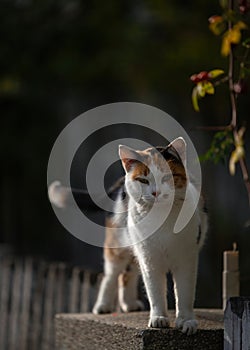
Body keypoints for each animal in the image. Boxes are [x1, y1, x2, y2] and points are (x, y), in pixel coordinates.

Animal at [48, 135, 207, 334]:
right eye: (143, 180)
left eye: (166, 177)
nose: (156, 192)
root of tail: (119, 182)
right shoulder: (149, 259)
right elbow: (154, 289)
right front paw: (158, 318)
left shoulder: (187, 258)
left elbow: (185, 292)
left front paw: (186, 321)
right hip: (120, 246)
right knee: (112, 274)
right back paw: (103, 305)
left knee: (127, 274)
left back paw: (129, 304)